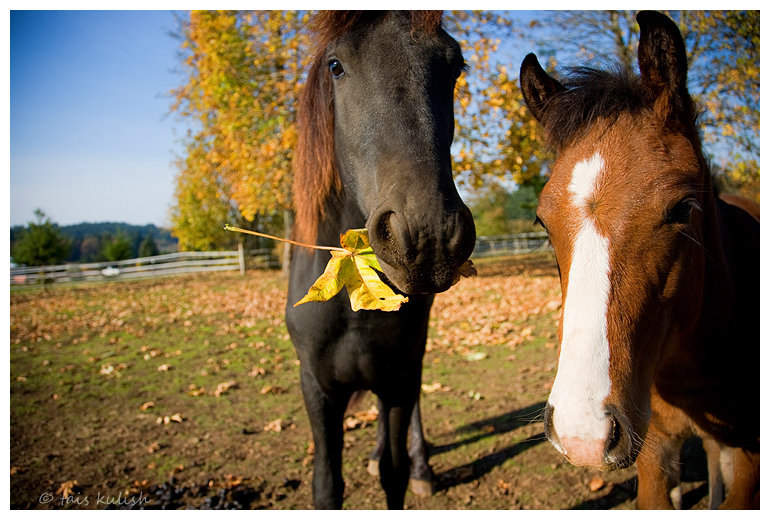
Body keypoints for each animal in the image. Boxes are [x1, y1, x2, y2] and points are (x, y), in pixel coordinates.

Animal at [284, 11, 472, 508]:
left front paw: (412, 468)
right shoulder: (318, 389)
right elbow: (327, 484)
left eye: (455, 66)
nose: (428, 236)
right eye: (335, 66)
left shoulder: (399, 380)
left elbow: (395, 472)